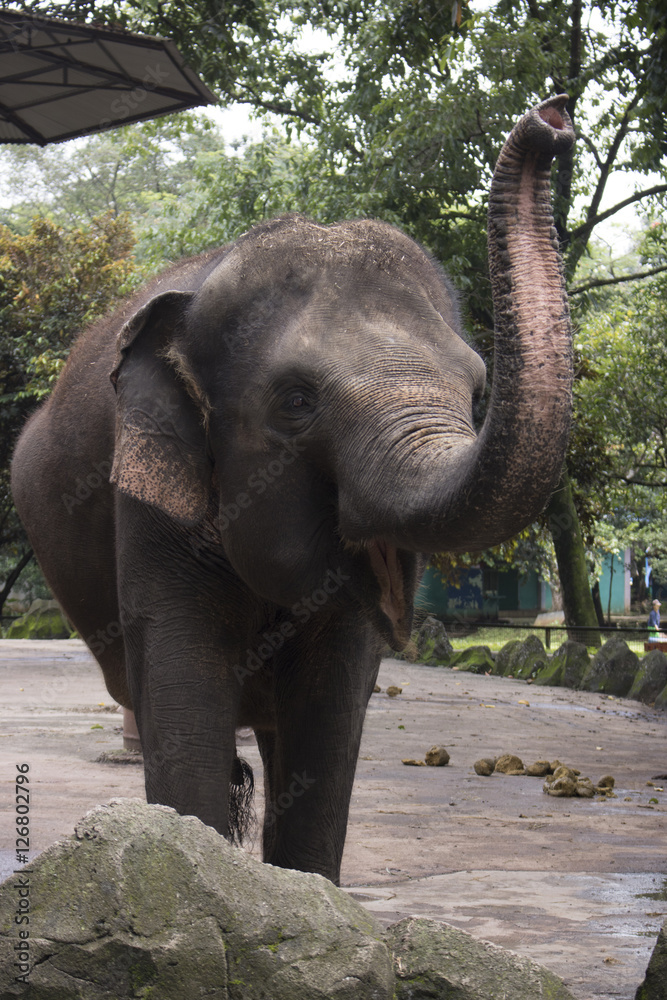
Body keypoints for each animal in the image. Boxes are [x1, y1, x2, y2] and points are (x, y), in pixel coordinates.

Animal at [11, 96, 575, 885]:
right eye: (297, 402)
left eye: (476, 391)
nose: (554, 119)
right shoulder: (149, 495)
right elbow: (185, 695)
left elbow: (328, 713)